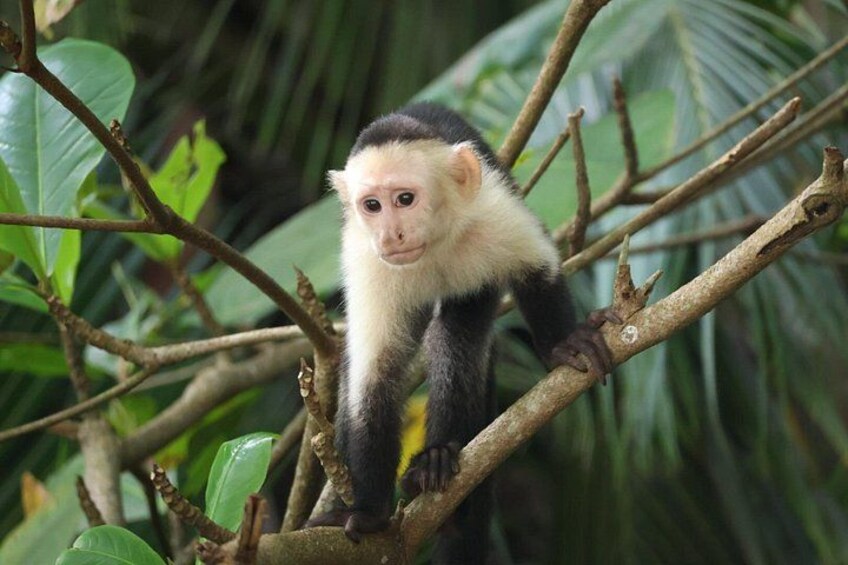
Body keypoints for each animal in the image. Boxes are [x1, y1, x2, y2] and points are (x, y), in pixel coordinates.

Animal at [306, 102, 618, 562]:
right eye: (372, 205)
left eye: (405, 199)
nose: (391, 235)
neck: (433, 241)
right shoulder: (368, 259)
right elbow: (375, 375)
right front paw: (368, 512)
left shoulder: (492, 210)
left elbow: (537, 267)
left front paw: (565, 342)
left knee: (457, 336)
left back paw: (436, 463)